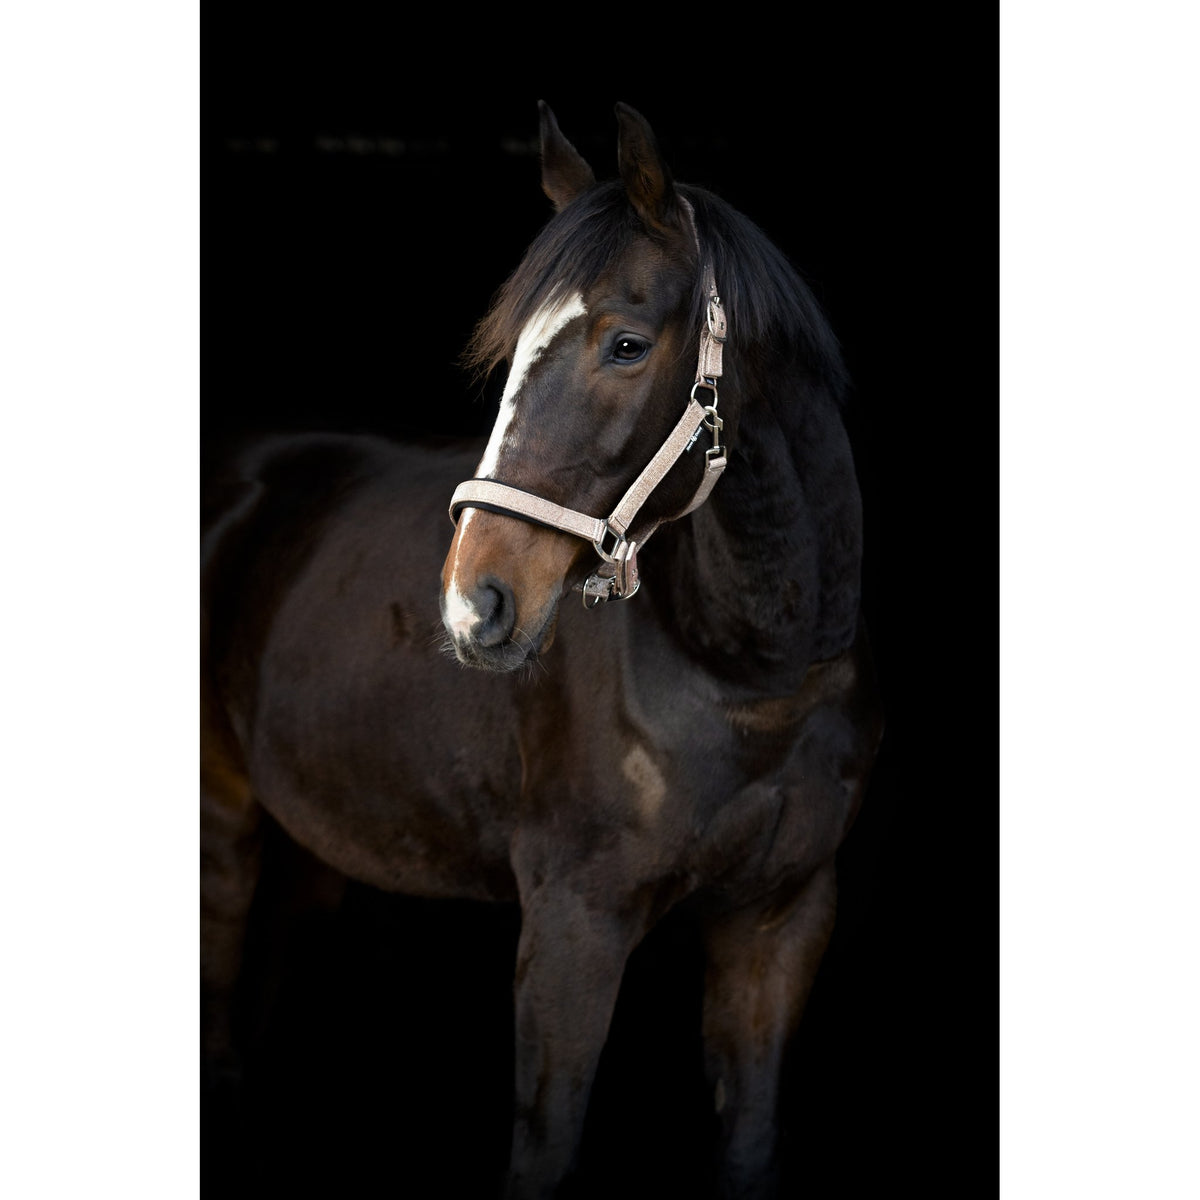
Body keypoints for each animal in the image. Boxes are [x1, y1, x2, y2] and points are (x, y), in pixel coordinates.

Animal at [201, 101, 883, 1199]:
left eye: (626, 343)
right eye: (515, 350)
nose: (473, 604)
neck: (752, 674)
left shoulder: (782, 920)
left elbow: (748, 1144)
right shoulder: (573, 925)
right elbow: (545, 1149)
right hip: (222, 825)